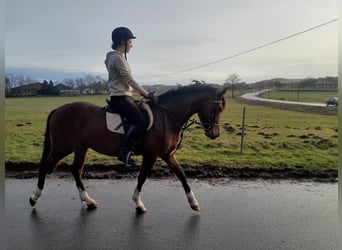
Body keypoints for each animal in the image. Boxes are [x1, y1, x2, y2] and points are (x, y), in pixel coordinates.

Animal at [29, 84, 227, 213]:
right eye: (218, 108)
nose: (215, 133)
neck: (166, 116)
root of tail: (58, 109)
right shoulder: (152, 155)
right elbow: (142, 177)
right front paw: (138, 204)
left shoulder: (167, 155)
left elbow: (182, 176)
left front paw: (194, 203)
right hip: (62, 147)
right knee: (45, 166)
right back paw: (34, 197)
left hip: (81, 147)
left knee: (76, 170)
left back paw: (89, 201)